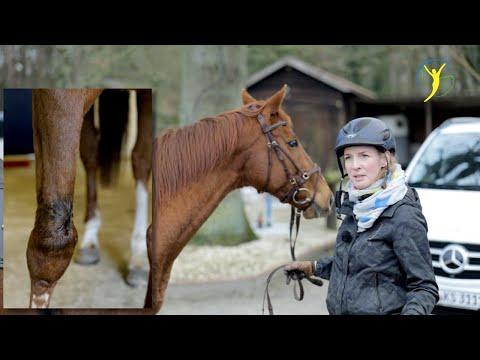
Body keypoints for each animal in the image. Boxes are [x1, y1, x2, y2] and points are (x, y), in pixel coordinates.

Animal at [28, 88, 152, 308]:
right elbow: (50, 237)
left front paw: (139, 255)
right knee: (91, 151)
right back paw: (90, 240)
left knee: (139, 159)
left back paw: (137, 259)